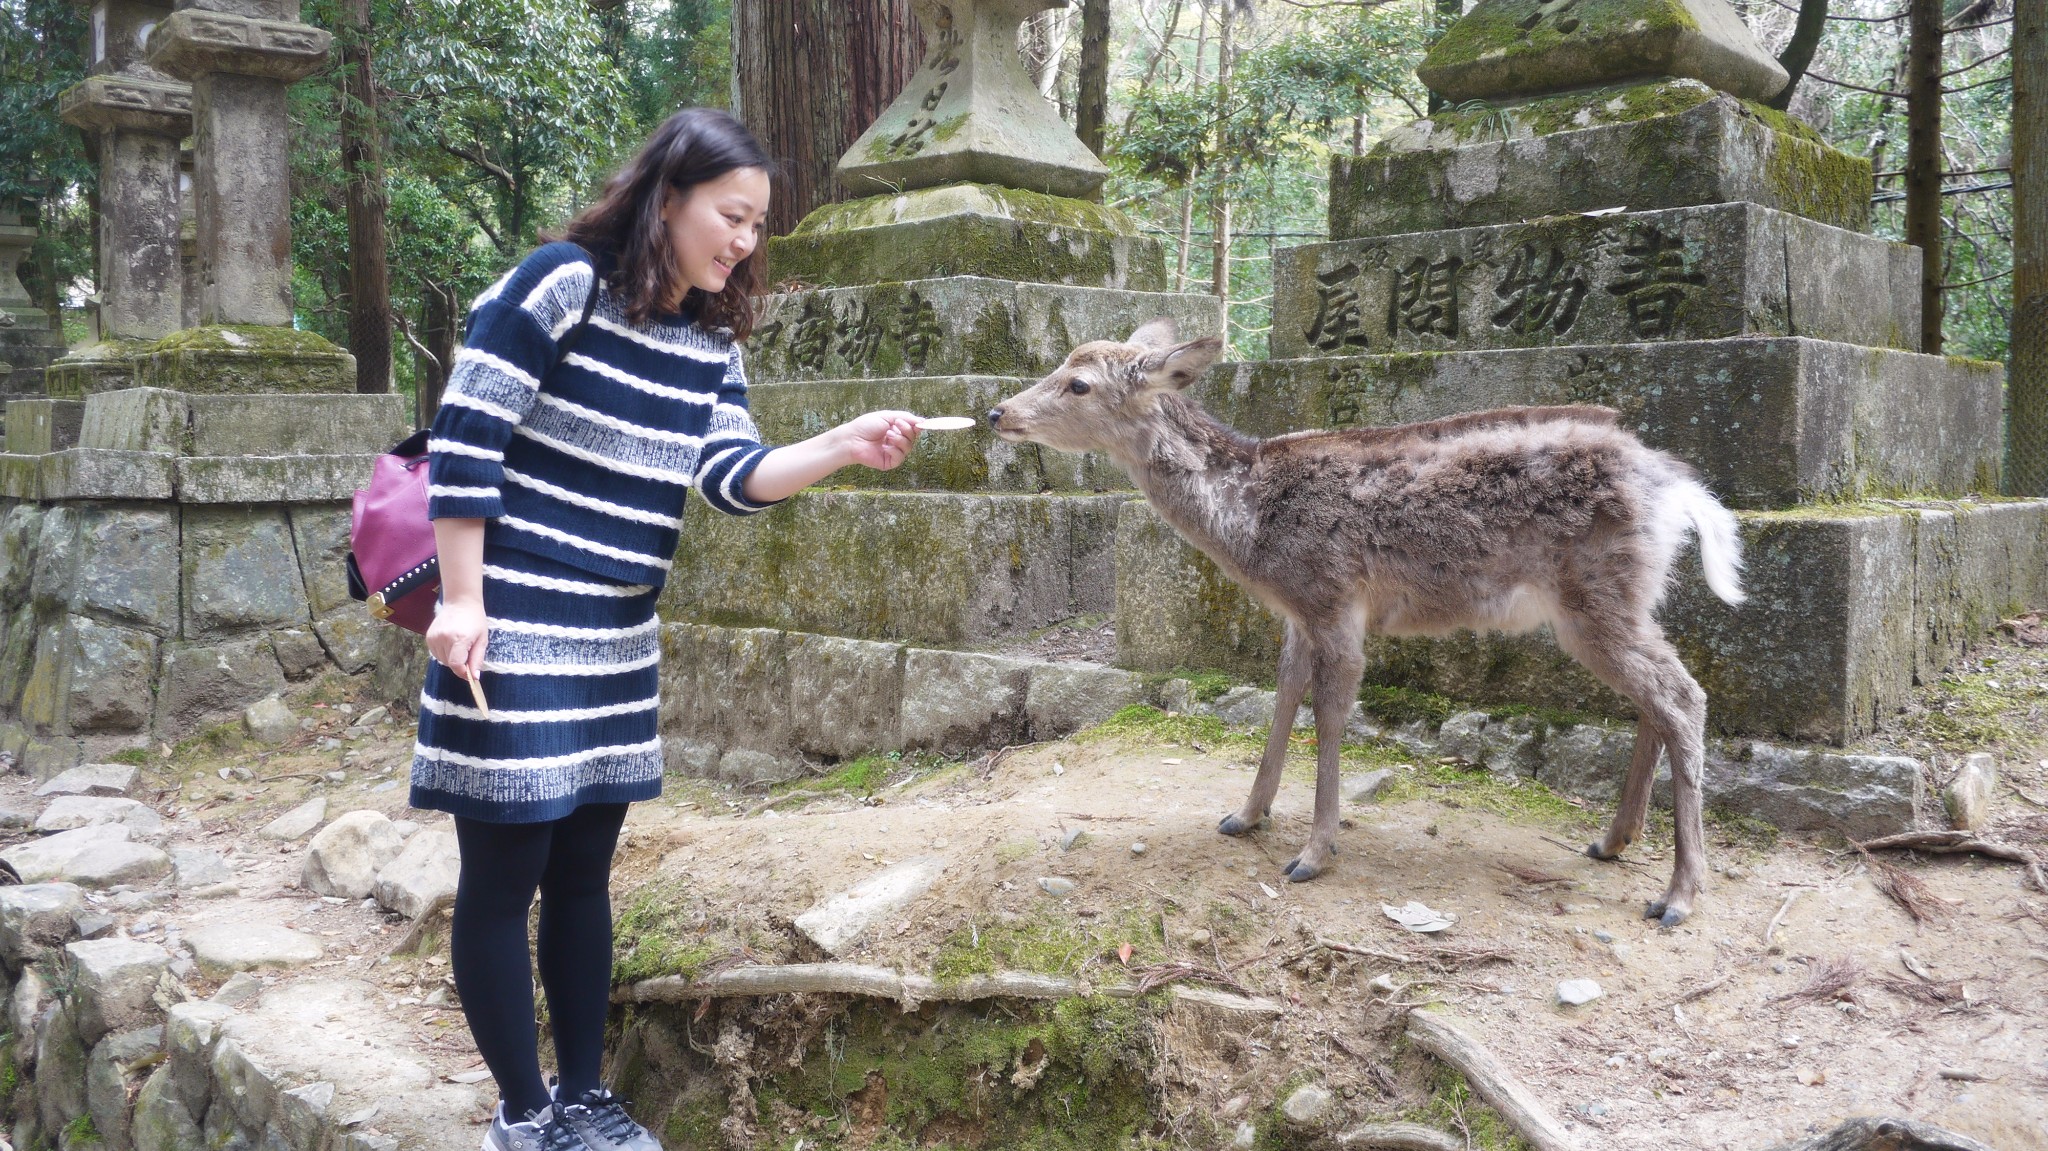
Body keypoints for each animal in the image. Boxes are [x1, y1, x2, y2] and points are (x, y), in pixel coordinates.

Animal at [987, 317, 1744, 925]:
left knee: (1683, 695)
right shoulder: (1295, 613)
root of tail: (1681, 490)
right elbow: (1283, 696)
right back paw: (1613, 840)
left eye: (1078, 383)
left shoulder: (1332, 597)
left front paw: (1312, 853)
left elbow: (1328, 714)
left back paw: (1679, 894)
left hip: (1595, 594)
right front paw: (1246, 814)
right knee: (1660, 695)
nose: (996, 412)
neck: (1251, 525)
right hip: (1628, 599)